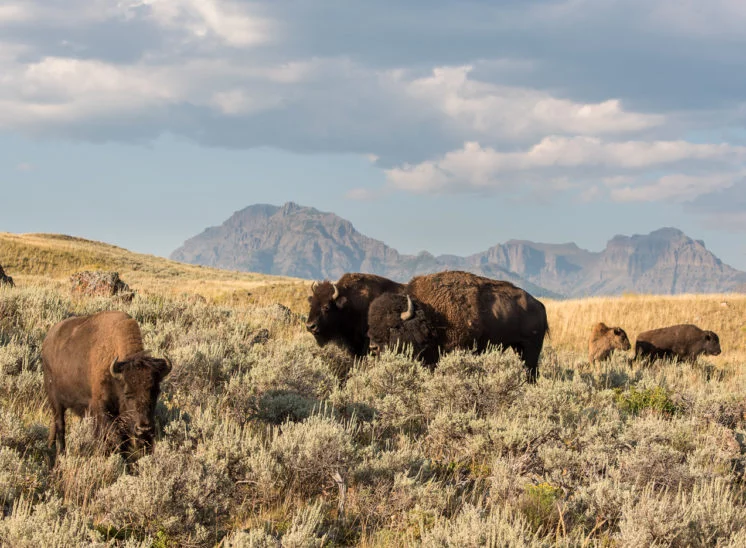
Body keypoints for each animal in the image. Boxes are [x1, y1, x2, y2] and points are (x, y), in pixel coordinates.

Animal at [42, 310, 171, 457]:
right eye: (128, 394)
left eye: (155, 392)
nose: (144, 428)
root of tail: (47, 340)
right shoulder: (101, 409)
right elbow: (112, 436)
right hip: (55, 401)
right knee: (60, 424)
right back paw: (61, 453)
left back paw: (50, 446)